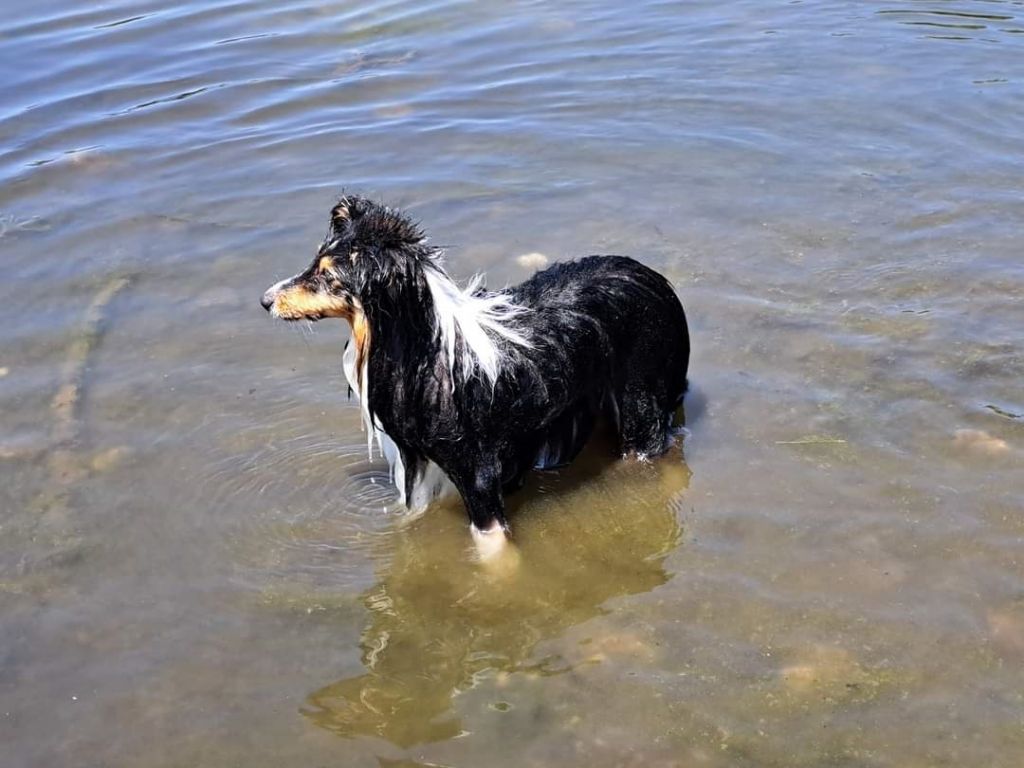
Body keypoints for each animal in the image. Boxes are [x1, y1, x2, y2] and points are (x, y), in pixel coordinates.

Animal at [260, 195, 692, 561]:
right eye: (313, 265)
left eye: (329, 276)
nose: (265, 300)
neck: (421, 349)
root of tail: (655, 280)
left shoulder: (479, 476)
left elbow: (493, 556)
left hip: (640, 407)